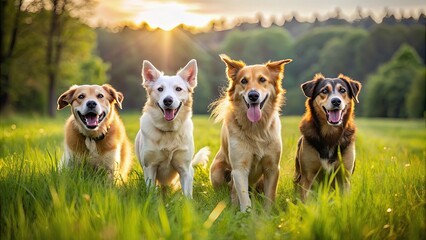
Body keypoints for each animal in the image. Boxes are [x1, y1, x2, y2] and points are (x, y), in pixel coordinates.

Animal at [135, 59, 210, 197]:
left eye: (178, 89)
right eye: (160, 89)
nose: (168, 100)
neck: (168, 130)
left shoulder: (185, 169)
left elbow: (187, 196)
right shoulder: (150, 167)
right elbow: (152, 194)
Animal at [211, 54, 292, 212]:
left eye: (262, 80)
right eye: (244, 81)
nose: (253, 95)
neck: (256, 129)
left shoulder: (272, 168)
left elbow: (269, 196)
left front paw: (268, 214)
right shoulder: (239, 168)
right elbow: (243, 197)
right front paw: (245, 213)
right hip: (216, 171)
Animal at [294, 72, 362, 201]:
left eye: (342, 90)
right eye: (324, 91)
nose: (336, 101)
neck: (330, 132)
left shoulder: (344, 176)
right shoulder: (307, 176)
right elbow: (305, 200)